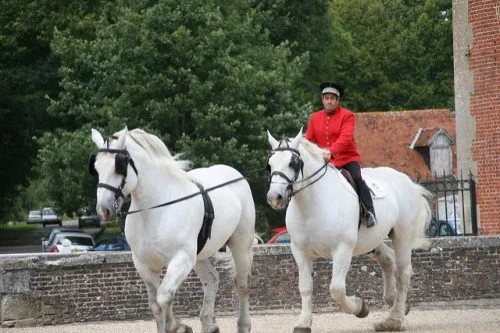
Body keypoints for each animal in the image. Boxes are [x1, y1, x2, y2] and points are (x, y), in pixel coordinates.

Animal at [90, 126, 256, 330]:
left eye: (119, 166)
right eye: (96, 167)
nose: (103, 210)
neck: (155, 210)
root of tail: (234, 174)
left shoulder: (181, 259)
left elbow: (164, 296)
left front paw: (179, 327)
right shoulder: (143, 264)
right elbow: (155, 304)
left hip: (241, 245)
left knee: (242, 285)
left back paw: (243, 324)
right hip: (199, 255)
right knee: (212, 280)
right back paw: (209, 324)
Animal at [268, 129, 432, 330]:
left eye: (293, 163)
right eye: (270, 164)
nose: (274, 197)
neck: (311, 205)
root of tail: (407, 181)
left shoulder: (342, 250)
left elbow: (337, 289)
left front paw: (360, 307)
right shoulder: (300, 252)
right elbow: (305, 288)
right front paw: (303, 322)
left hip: (402, 236)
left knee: (403, 273)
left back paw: (393, 319)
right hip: (373, 241)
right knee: (388, 259)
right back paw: (394, 300)